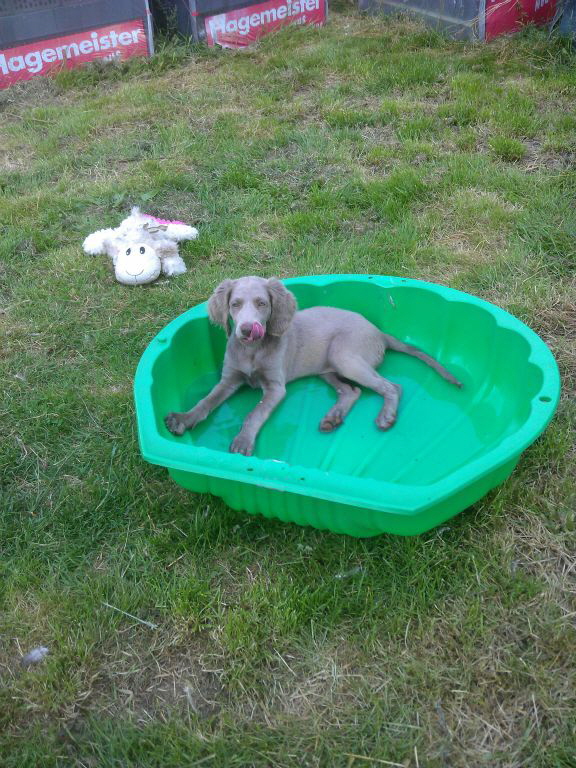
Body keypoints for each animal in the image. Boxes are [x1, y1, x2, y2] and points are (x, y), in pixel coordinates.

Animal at [164, 276, 462, 456]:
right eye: (235, 304)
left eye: (262, 303)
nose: (247, 330)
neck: (252, 351)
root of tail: (378, 332)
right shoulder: (229, 379)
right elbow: (206, 401)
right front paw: (183, 418)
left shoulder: (276, 387)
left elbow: (255, 413)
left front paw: (243, 440)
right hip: (328, 369)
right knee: (351, 391)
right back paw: (333, 417)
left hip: (344, 356)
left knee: (392, 386)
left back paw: (386, 416)